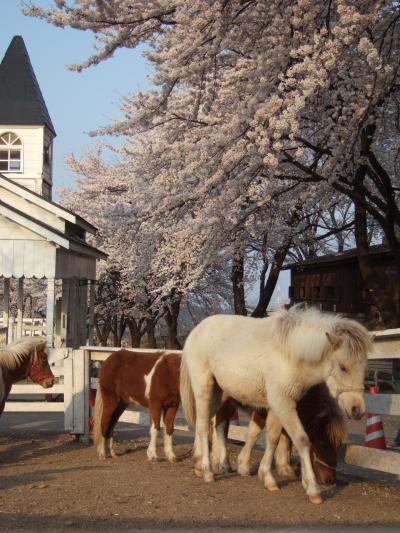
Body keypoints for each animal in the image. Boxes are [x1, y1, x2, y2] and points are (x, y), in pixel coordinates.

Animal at [212, 382, 346, 486]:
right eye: (322, 444)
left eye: (339, 445)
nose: (330, 480)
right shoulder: (262, 409)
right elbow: (254, 433)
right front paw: (244, 466)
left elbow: (284, 436)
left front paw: (284, 467)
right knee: (220, 425)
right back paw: (221, 463)